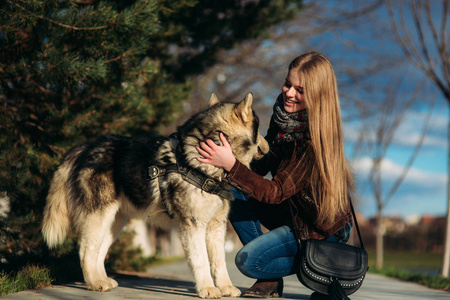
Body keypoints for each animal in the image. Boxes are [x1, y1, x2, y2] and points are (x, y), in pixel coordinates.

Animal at [42, 93, 268, 298]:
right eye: (258, 130)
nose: (268, 147)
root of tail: (86, 146)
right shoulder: (193, 225)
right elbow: (201, 261)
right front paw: (207, 289)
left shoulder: (216, 226)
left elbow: (219, 263)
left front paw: (226, 287)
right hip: (99, 217)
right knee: (85, 251)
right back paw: (95, 284)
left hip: (114, 222)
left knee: (99, 251)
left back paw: (102, 280)